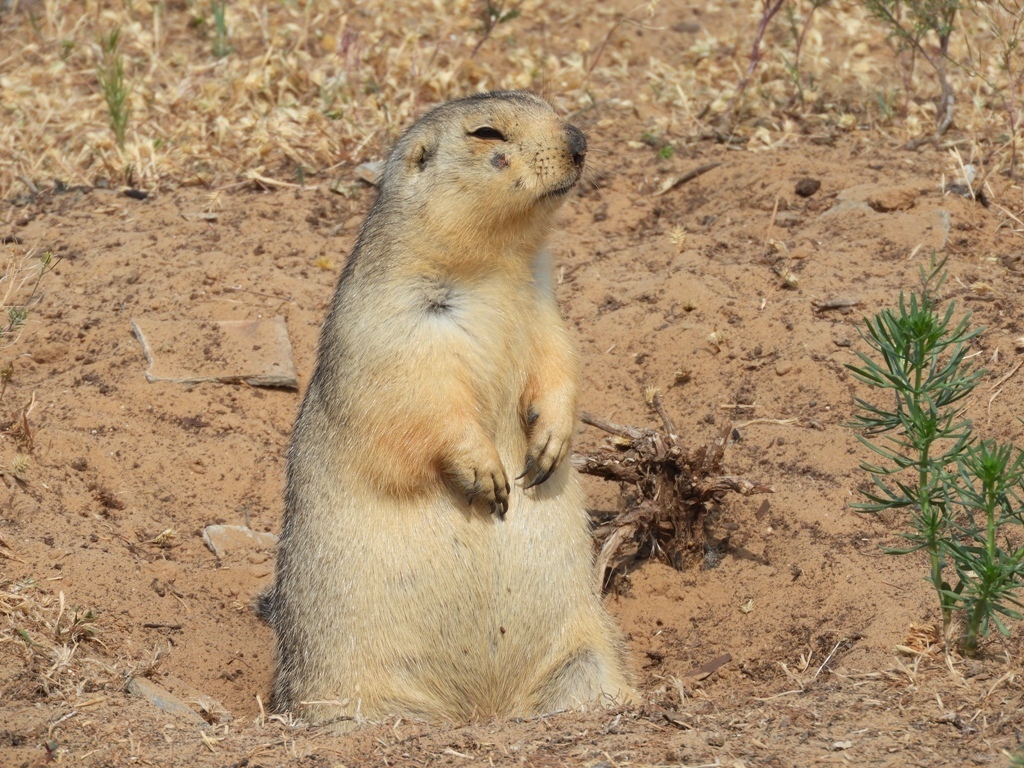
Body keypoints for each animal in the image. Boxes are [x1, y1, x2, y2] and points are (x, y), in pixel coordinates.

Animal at [258, 90, 630, 729]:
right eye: (486, 133)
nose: (580, 141)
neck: (498, 267)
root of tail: (486, 709)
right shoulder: (395, 328)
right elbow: (419, 399)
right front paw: (487, 474)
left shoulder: (546, 308)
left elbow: (561, 360)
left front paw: (549, 446)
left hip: (584, 657)